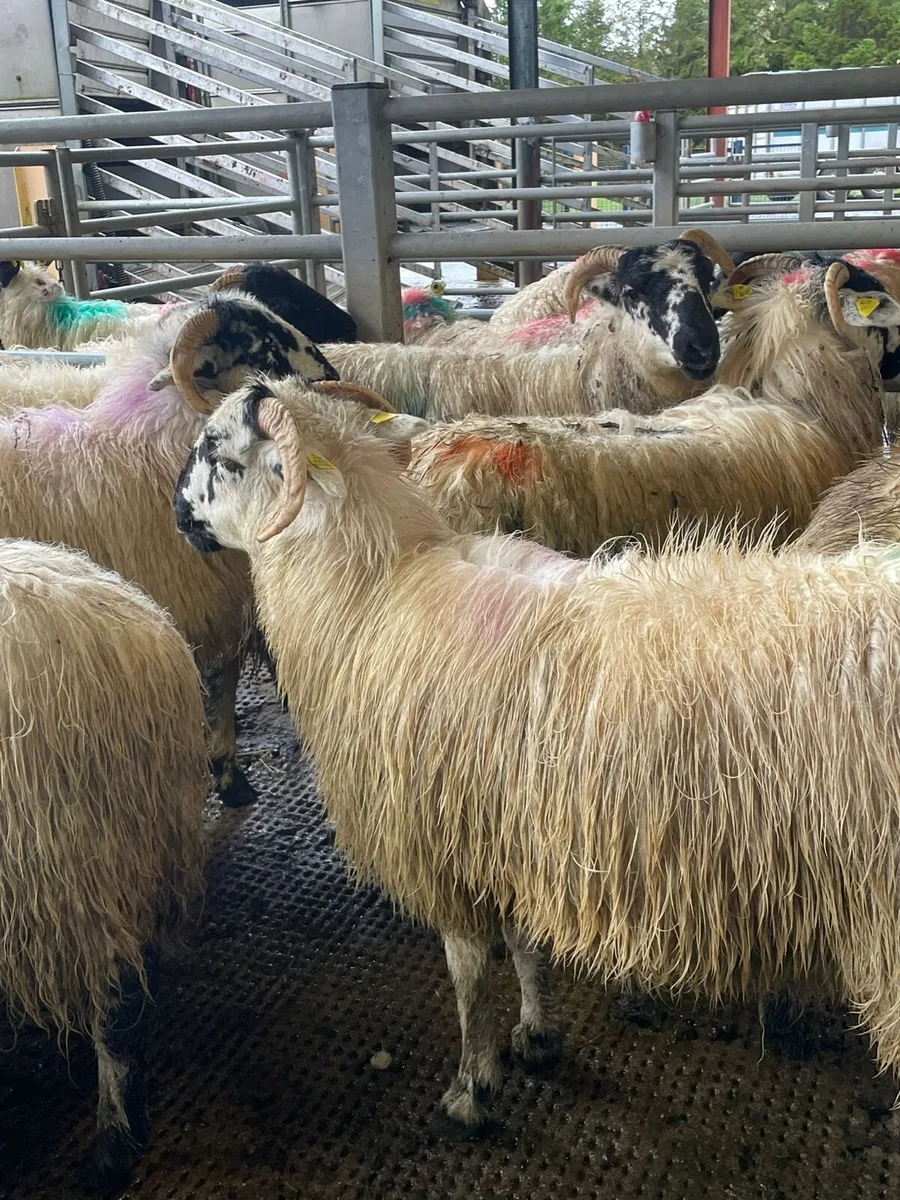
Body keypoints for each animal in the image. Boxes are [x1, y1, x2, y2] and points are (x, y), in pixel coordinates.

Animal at [174, 378, 900, 1134]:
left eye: (217, 452)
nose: (177, 513)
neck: (372, 588)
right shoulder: (511, 830)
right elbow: (525, 945)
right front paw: (537, 1035)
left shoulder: (442, 841)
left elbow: (468, 975)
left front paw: (472, 1087)